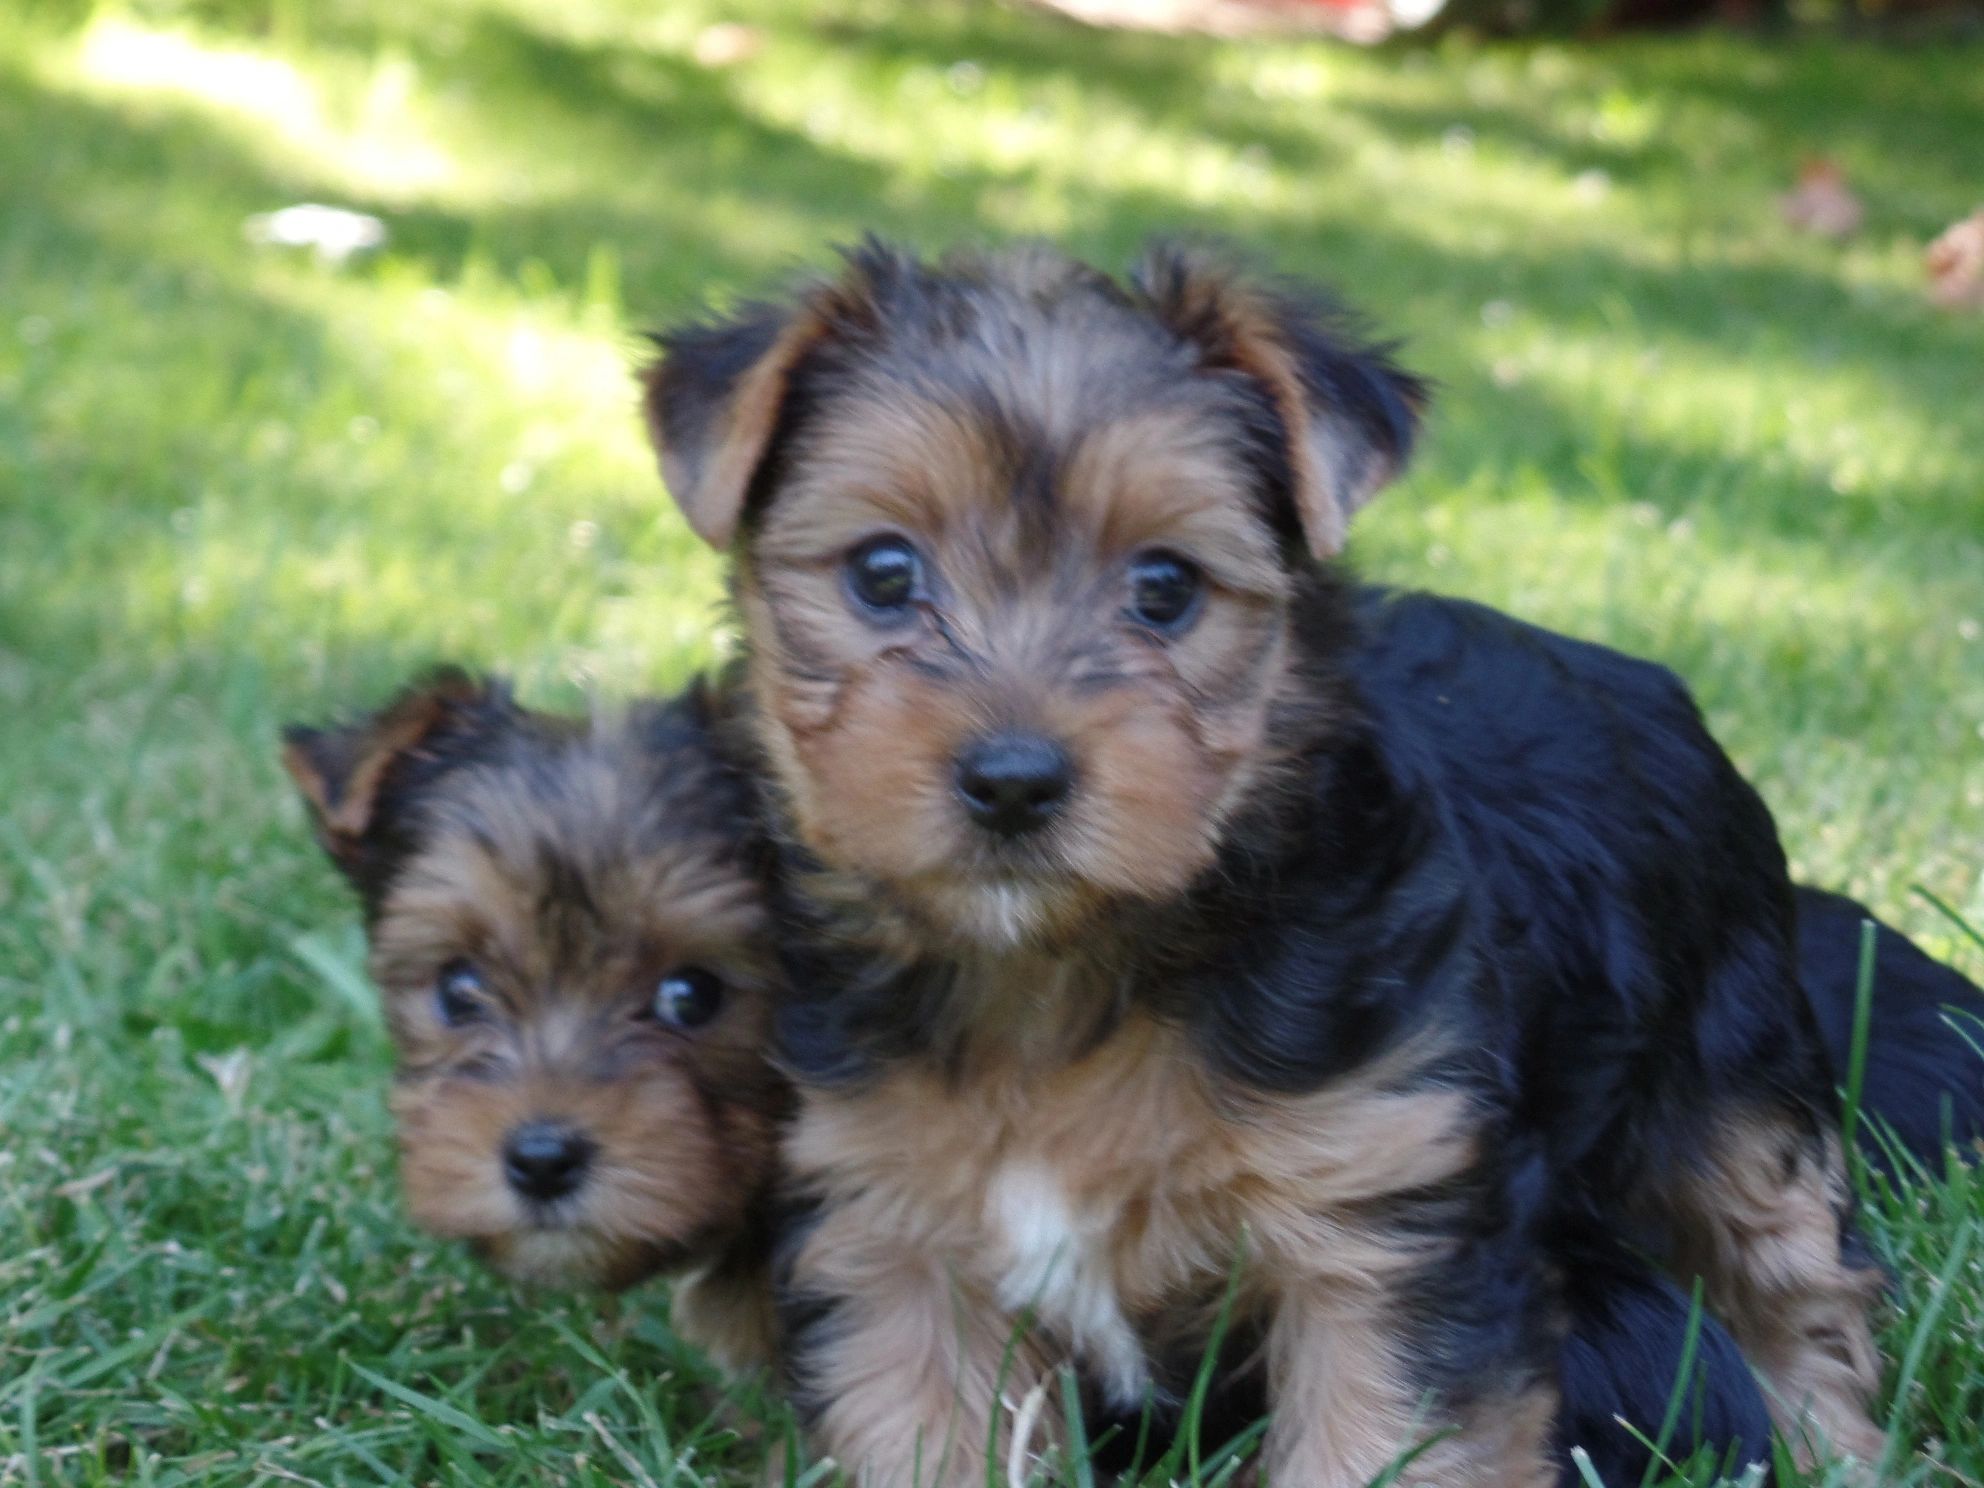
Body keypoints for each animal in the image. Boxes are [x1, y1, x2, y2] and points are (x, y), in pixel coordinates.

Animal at [642, 245, 1896, 1488]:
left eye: (1164, 587)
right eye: (883, 571)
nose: (1012, 781)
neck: (1061, 973)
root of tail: (1639, 674)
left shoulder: (1380, 1208)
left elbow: (1379, 1440)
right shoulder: (893, 1237)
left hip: (1732, 1074)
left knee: (1787, 1273)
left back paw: (1828, 1445)